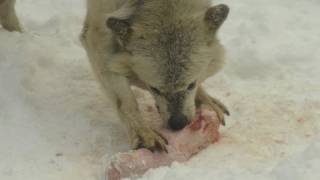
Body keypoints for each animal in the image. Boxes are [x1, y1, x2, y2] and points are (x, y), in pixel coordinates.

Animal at [80, 0, 230, 152]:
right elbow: (126, 101)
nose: (178, 123)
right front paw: (143, 134)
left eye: (191, 85)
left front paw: (206, 100)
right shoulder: (96, 35)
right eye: (155, 89)